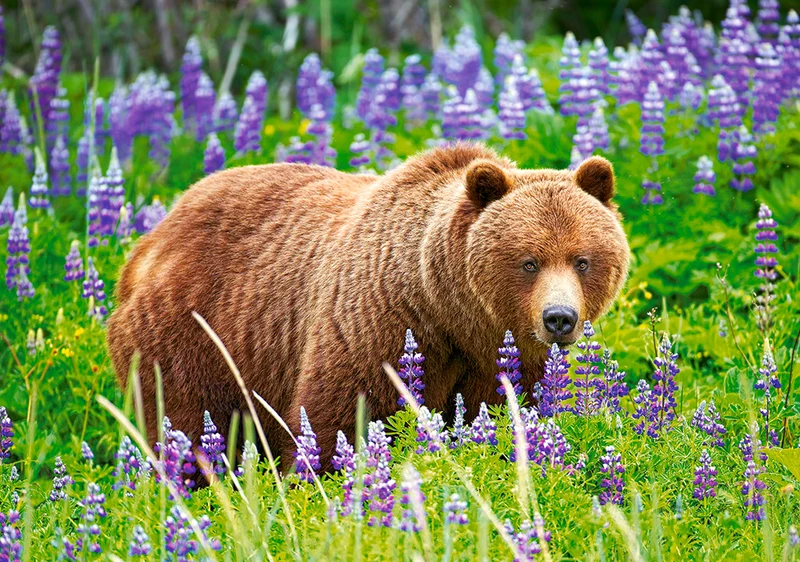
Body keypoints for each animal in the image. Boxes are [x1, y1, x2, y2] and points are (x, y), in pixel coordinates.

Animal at [106, 142, 630, 471]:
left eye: (582, 259)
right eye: (529, 261)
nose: (559, 318)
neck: (452, 313)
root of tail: (151, 238)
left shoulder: (503, 361)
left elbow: (506, 416)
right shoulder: (378, 323)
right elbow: (337, 418)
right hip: (194, 336)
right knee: (186, 425)